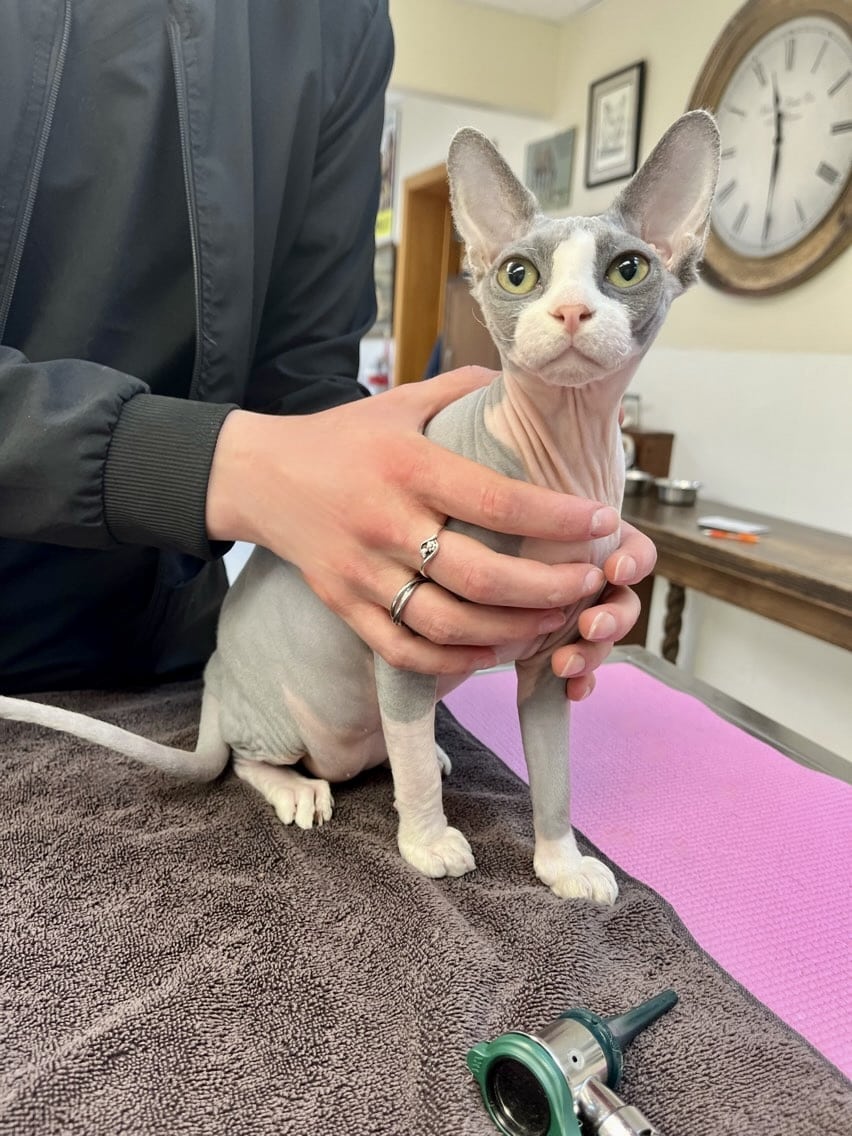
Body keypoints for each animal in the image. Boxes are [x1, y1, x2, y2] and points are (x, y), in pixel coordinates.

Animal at [0, 110, 722, 899]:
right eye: (518, 274)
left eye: (628, 268)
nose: (568, 310)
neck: (564, 459)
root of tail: (216, 682)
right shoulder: (403, 646)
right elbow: (410, 763)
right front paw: (429, 844)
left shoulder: (552, 662)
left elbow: (555, 775)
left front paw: (562, 865)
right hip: (286, 718)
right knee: (252, 760)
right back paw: (299, 788)